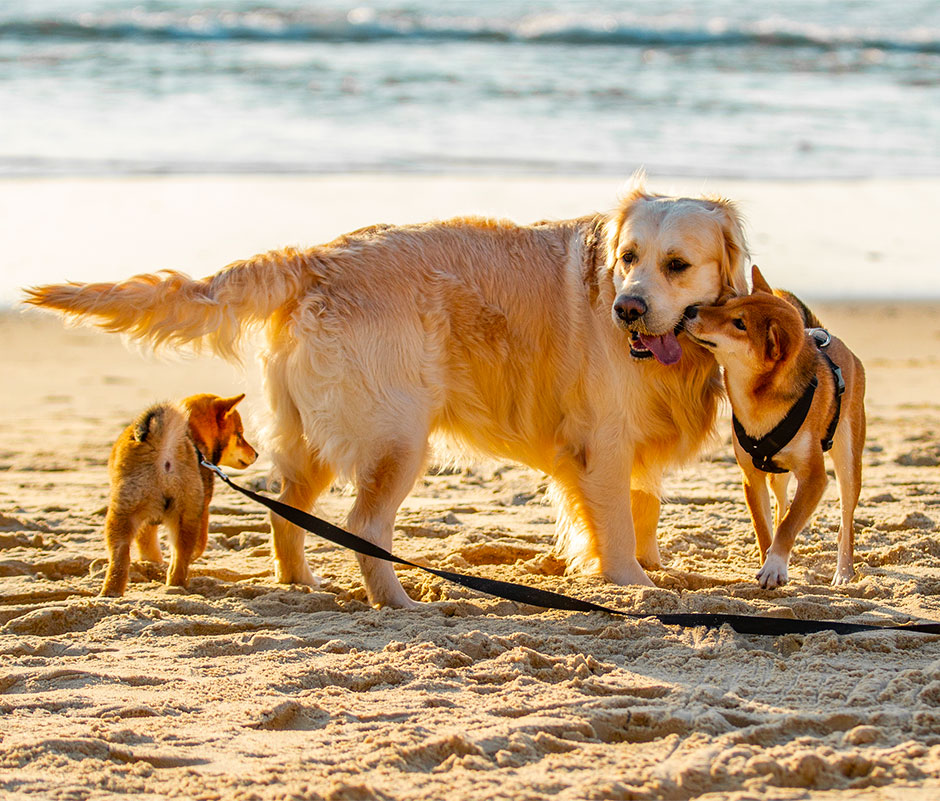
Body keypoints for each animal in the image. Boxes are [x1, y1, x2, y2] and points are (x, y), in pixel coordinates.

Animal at [100, 394, 258, 592]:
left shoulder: (149, 523)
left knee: (121, 558)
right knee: (180, 558)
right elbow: (199, 546)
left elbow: (149, 548)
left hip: (124, 515)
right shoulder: (202, 510)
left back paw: (114, 591)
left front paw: (152, 565)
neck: (195, 434)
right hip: (184, 515)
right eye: (240, 435)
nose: (256, 454)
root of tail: (164, 447)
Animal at [684, 266, 868, 584]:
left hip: (847, 462)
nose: (690, 310)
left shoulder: (815, 478)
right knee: (782, 505)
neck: (757, 403)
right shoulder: (752, 476)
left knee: (846, 520)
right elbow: (765, 526)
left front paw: (774, 566)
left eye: (739, 324)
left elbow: (789, 524)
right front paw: (768, 559)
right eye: (728, 303)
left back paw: (844, 572)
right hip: (777, 476)